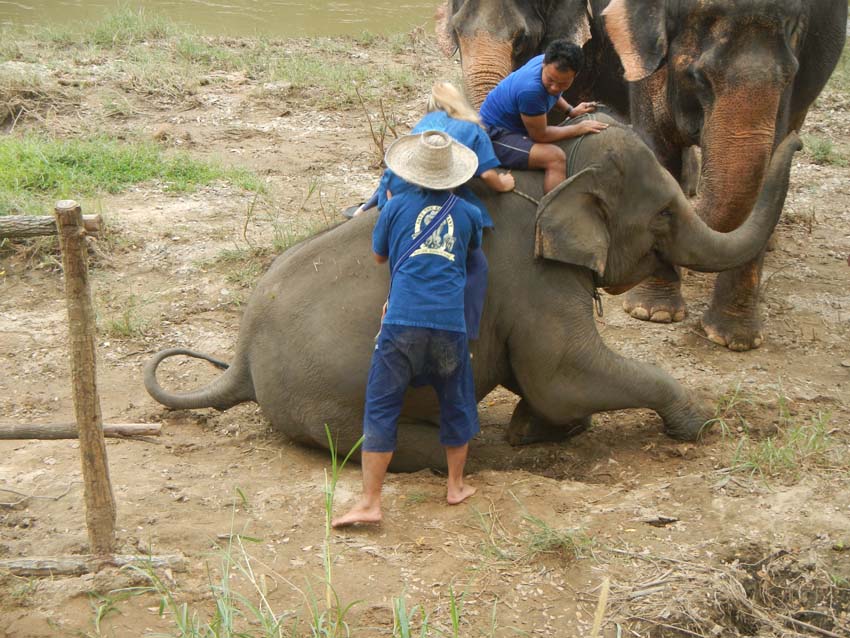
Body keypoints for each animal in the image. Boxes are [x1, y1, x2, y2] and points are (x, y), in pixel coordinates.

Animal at [438, 0, 840, 352]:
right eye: (698, 78)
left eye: (522, 38)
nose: (799, 144)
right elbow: (655, 143)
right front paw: (655, 313)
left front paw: (733, 341)